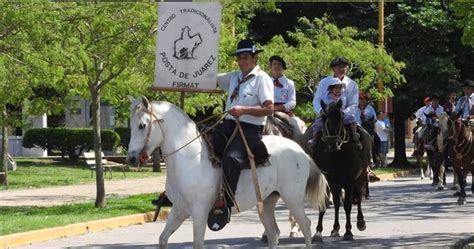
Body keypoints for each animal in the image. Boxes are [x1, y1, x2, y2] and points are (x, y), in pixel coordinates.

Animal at [127, 98, 330, 249]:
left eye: (142, 125)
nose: (131, 158)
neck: (191, 159)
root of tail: (300, 151)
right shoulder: (179, 210)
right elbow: (162, 239)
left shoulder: (199, 213)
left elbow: (197, 244)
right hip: (266, 202)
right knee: (273, 235)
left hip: (292, 198)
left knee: (306, 226)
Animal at [312, 100, 368, 242]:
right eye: (324, 118)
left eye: (340, 118)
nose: (331, 143)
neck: (336, 154)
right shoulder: (328, 179)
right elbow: (325, 203)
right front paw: (318, 232)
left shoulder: (350, 181)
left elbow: (348, 205)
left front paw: (348, 232)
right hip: (336, 183)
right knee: (337, 202)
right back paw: (335, 228)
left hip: (361, 177)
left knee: (359, 197)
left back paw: (360, 222)